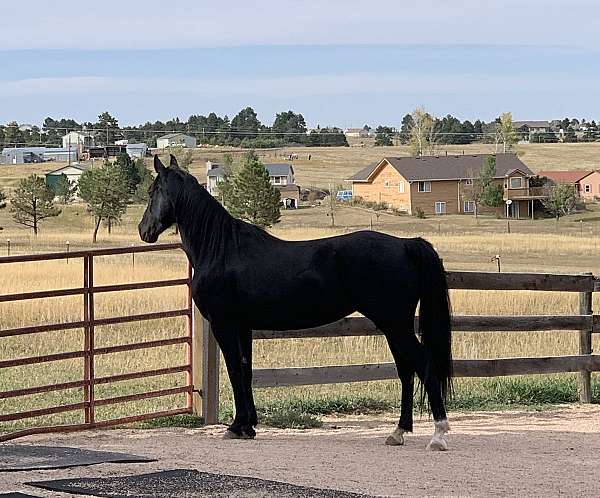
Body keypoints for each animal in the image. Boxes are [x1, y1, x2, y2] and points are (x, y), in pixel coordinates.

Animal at [138, 157, 452, 452]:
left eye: (153, 191)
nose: (144, 230)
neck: (221, 249)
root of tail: (406, 244)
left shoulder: (224, 324)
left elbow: (234, 370)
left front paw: (236, 427)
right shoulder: (243, 326)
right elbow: (245, 370)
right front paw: (249, 426)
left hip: (395, 323)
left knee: (422, 364)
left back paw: (438, 434)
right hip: (394, 325)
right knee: (406, 369)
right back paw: (398, 432)